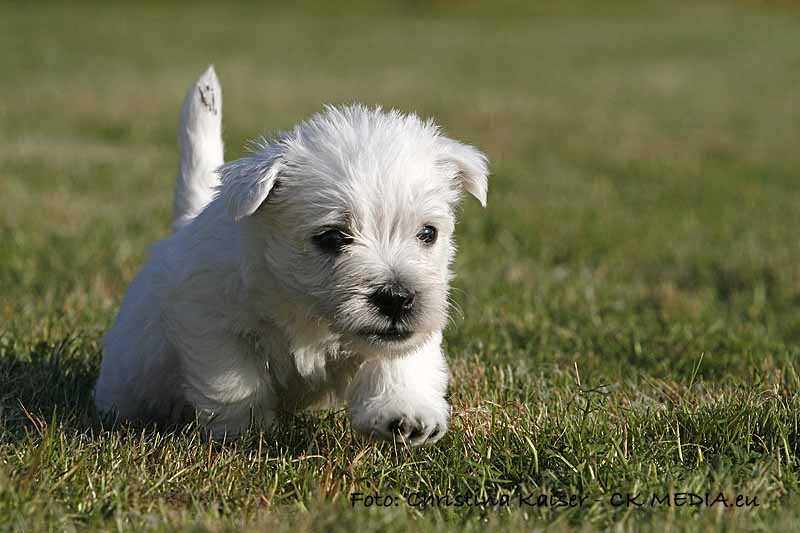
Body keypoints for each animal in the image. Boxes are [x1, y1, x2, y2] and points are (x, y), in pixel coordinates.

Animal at [97, 65, 490, 444]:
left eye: (428, 233)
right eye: (331, 237)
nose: (397, 298)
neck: (309, 313)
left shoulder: (414, 327)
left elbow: (402, 361)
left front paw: (405, 414)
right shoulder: (211, 321)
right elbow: (233, 380)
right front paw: (246, 432)